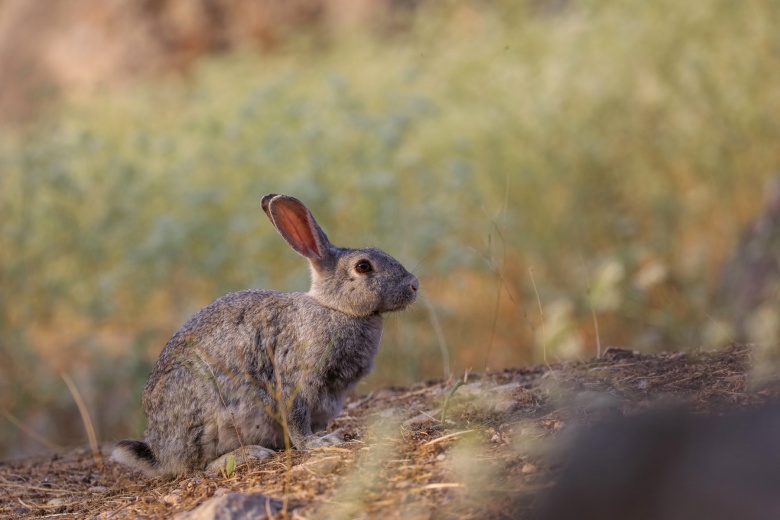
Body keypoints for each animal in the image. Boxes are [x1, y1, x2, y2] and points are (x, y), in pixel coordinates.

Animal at [111, 194, 420, 476]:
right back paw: (249, 453)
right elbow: (297, 422)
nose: (414, 285)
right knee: (198, 467)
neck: (334, 308)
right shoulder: (296, 382)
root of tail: (159, 453)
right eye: (363, 266)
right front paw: (317, 443)